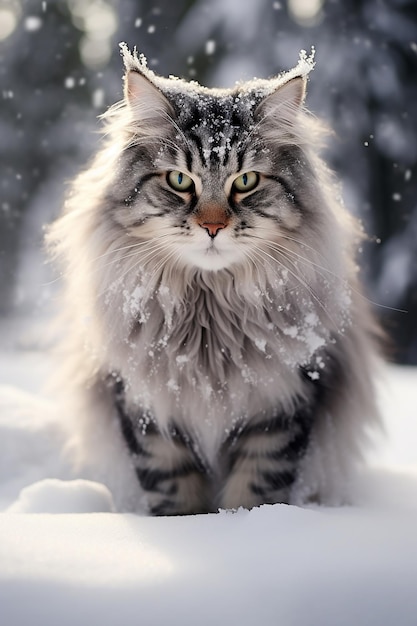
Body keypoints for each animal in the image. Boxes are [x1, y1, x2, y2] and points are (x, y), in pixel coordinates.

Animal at [46, 42, 380, 512]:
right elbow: (172, 487)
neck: (207, 317)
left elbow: (256, 488)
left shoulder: (283, 402)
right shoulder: (146, 406)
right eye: (179, 180)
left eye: (247, 181)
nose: (213, 226)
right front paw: (191, 524)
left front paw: (241, 524)